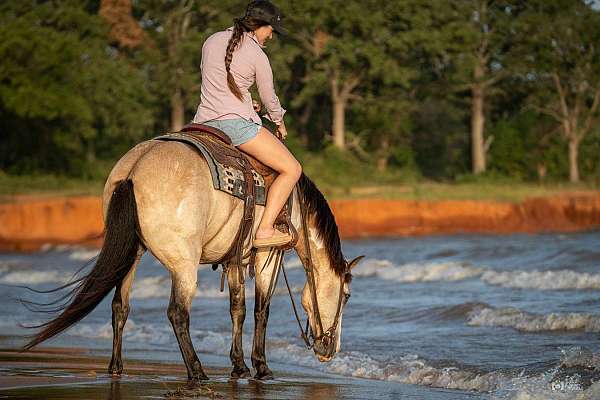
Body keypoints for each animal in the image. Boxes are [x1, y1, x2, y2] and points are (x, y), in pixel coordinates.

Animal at [21, 128, 364, 382]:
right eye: (347, 296)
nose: (329, 351)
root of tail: (135, 168)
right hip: (183, 265)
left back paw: (116, 367)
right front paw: (261, 366)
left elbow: (237, 309)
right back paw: (196, 371)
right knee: (177, 313)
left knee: (120, 306)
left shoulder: (234, 258)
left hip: (132, 254)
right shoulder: (268, 255)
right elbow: (260, 310)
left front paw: (239, 365)